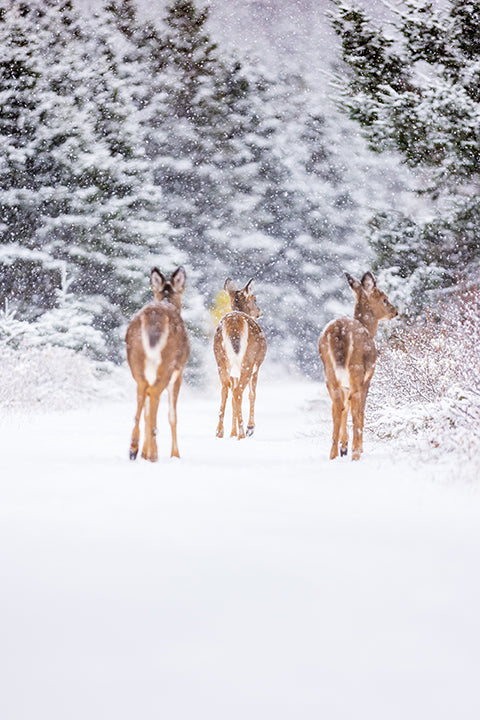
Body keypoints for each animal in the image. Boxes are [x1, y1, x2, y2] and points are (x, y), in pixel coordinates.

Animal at [125, 266, 190, 461]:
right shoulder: (179, 373)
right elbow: (172, 416)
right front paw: (175, 454)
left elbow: (147, 410)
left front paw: (144, 452)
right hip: (168, 364)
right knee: (153, 394)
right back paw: (153, 453)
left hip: (136, 363)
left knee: (142, 394)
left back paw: (134, 448)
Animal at [213, 278, 267, 440]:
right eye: (254, 299)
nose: (260, 312)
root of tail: (234, 323)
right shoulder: (257, 367)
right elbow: (252, 394)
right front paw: (250, 428)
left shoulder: (234, 374)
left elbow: (232, 398)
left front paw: (232, 432)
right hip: (248, 361)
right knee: (238, 392)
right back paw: (243, 433)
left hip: (221, 360)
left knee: (226, 389)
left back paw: (220, 431)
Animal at [318, 271, 397, 461]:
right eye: (384, 299)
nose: (395, 311)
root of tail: (338, 331)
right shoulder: (368, 379)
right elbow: (361, 410)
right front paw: (355, 448)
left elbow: (344, 408)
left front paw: (344, 446)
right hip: (356, 370)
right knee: (355, 407)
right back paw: (355, 453)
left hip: (329, 373)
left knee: (336, 406)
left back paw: (333, 454)